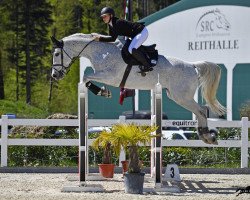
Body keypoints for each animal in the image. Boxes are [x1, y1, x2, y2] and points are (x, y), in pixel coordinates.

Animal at [50, 33, 227, 145]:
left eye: (57, 54)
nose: (55, 75)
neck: (101, 51)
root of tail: (192, 66)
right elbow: (86, 79)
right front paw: (104, 91)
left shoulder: (109, 76)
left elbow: (86, 77)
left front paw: (102, 92)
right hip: (176, 96)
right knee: (201, 110)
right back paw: (205, 135)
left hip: (181, 96)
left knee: (201, 110)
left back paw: (207, 136)